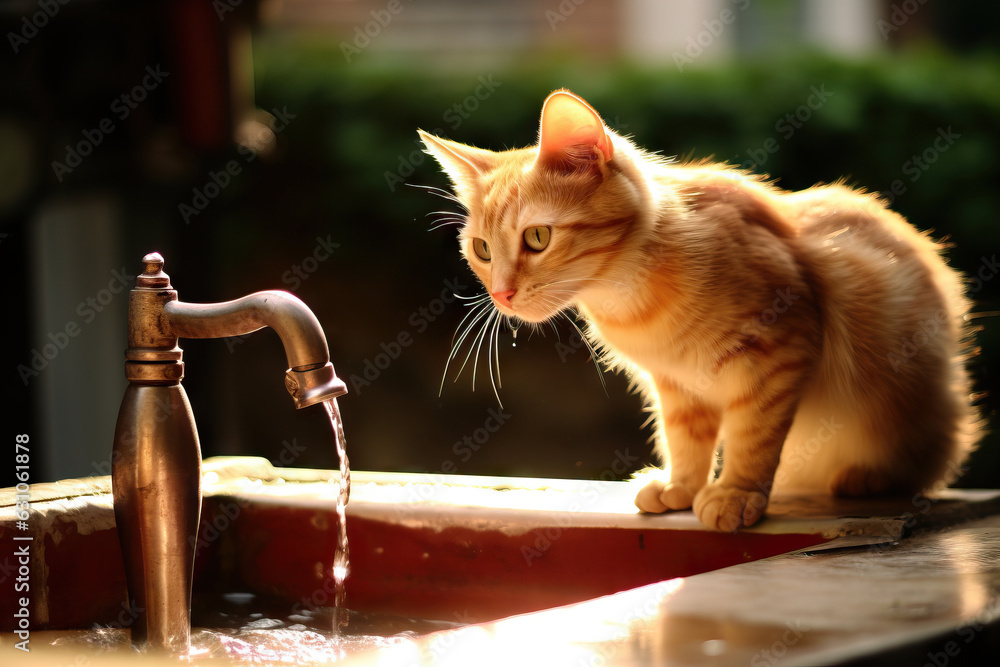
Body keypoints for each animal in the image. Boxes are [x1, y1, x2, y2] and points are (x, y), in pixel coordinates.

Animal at [418, 88, 980, 528]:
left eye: (537, 237)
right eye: (482, 250)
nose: (501, 294)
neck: (631, 297)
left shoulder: (781, 345)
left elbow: (752, 435)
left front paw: (736, 493)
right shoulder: (677, 384)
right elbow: (685, 440)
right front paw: (682, 487)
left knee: (934, 454)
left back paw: (869, 475)